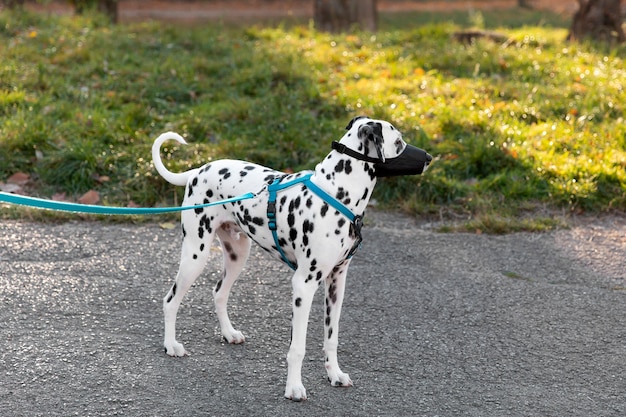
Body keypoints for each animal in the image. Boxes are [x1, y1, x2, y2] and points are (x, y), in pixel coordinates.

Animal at [154, 114, 432, 400]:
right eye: (398, 142)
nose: (429, 158)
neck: (336, 194)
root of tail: (197, 171)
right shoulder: (304, 285)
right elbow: (297, 347)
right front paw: (294, 387)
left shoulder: (336, 283)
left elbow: (331, 338)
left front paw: (334, 375)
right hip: (195, 255)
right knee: (170, 300)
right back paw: (171, 345)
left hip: (237, 255)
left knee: (219, 292)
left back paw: (229, 333)